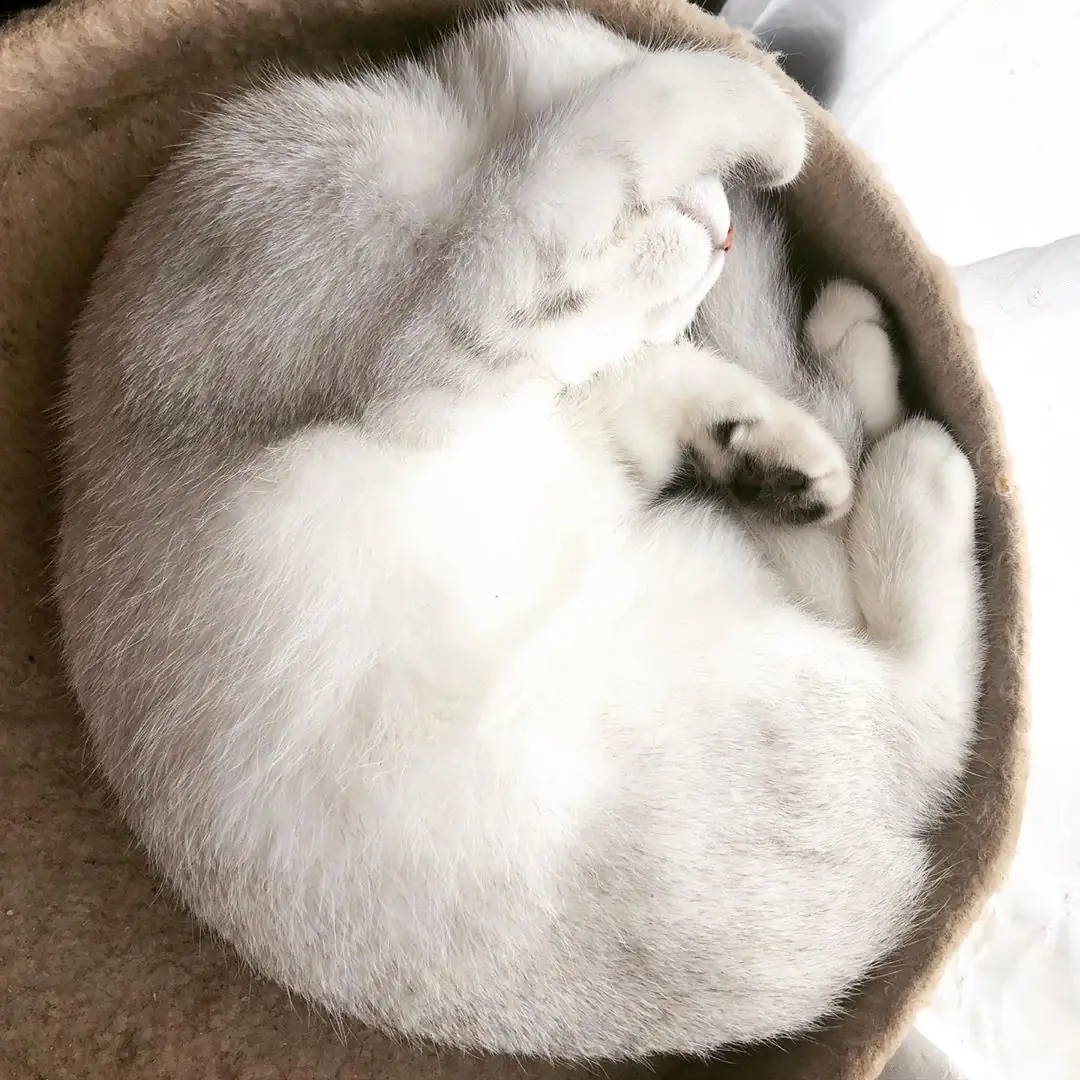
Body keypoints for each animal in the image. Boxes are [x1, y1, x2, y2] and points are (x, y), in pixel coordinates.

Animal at [56, 7, 984, 1062]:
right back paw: (911, 461)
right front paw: (774, 117)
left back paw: (832, 417)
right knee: (922, 706)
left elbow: (642, 361)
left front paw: (763, 441)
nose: (728, 230)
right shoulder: (436, 320)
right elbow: (602, 146)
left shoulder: (558, 409)